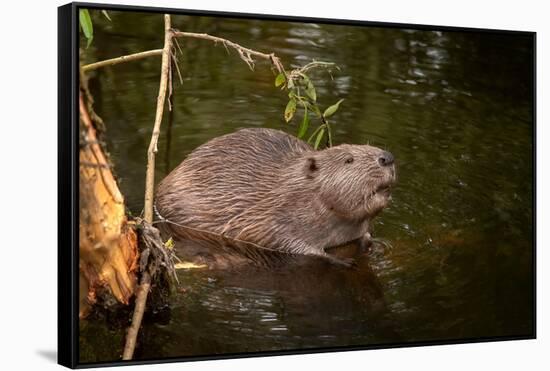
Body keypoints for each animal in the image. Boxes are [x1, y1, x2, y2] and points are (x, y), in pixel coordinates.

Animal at [155, 129, 396, 268]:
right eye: (349, 160)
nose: (387, 157)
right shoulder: (268, 217)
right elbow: (283, 242)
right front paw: (340, 260)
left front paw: (369, 242)